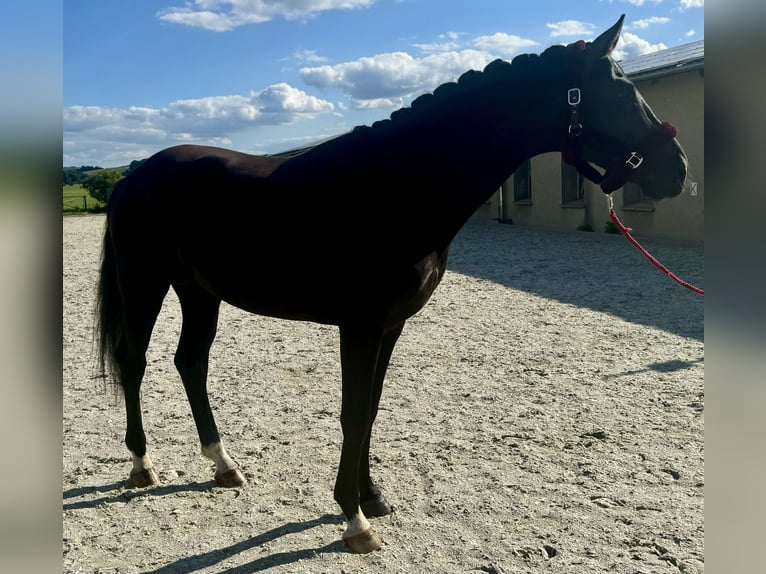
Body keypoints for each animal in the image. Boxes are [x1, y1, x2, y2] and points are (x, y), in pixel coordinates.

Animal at [96, 15, 688, 556]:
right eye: (620, 94)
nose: (678, 171)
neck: (398, 189)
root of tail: (134, 175)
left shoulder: (392, 324)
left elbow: (372, 409)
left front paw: (372, 497)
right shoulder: (359, 326)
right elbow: (353, 412)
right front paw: (354, 520)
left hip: (199, 291)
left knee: (190, 363)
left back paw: (224, 465)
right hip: (145, 284)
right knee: (135, 362)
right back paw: (143, 465)